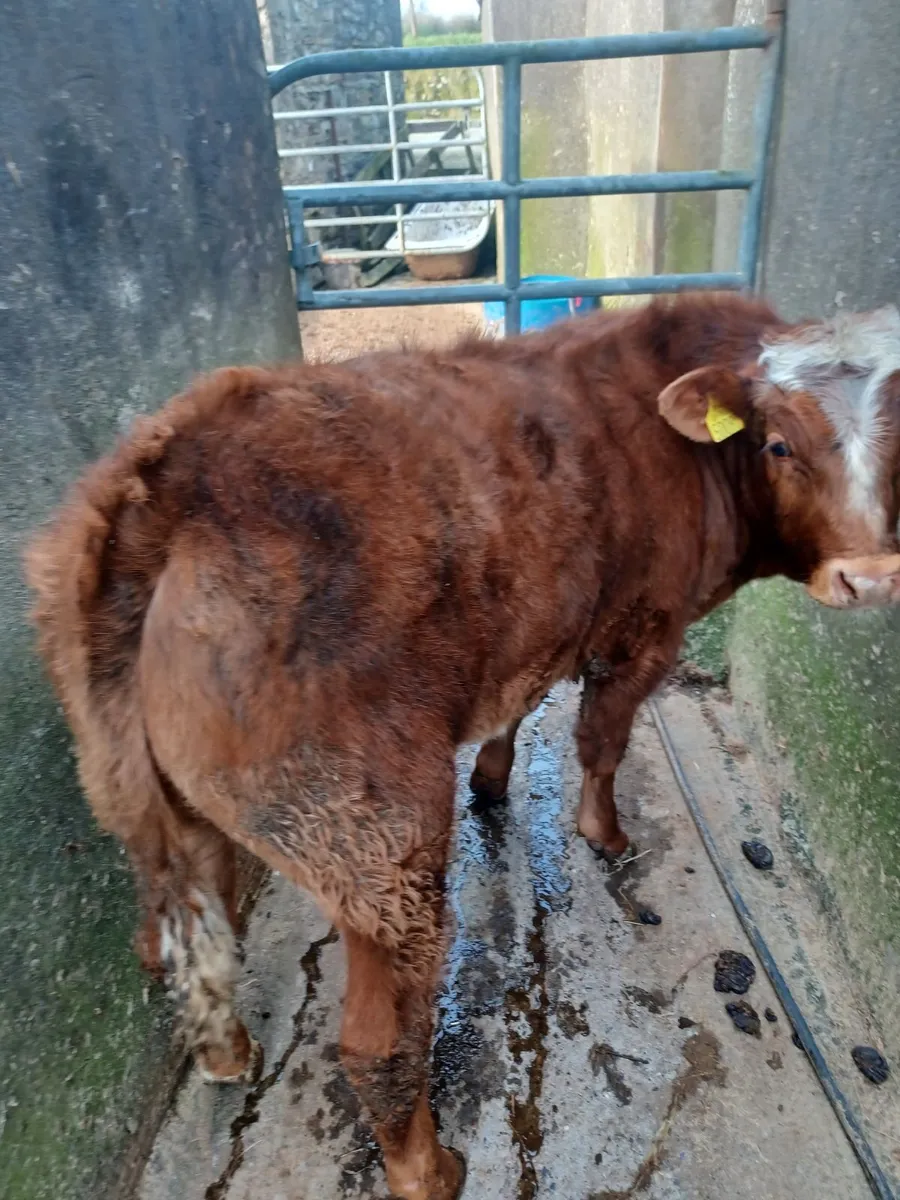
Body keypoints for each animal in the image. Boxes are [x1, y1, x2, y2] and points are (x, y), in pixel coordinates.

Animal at [25, 293, 900, 1200]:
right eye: (778, 442)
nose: (871, 577)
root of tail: (164, 478)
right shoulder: (642, 629)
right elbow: (603, 741)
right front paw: (606, 834)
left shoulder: (538, 628)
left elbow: (519, 709)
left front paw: (493, 777)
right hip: (379, 845)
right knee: (378, 1044)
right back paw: (429, 1169)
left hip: (161, 812)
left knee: (185, 943)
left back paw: (231, 1055)